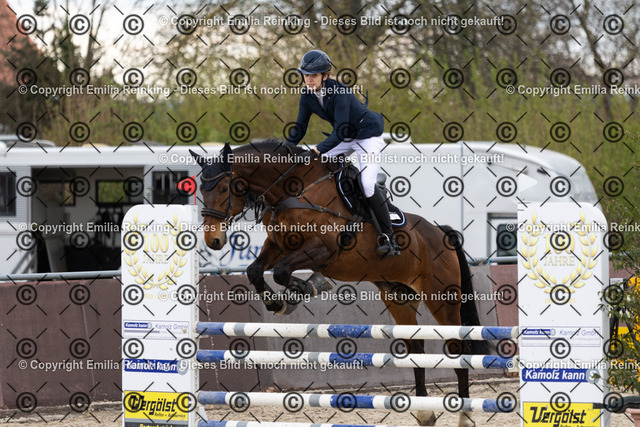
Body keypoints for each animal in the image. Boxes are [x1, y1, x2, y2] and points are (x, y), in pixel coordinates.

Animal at [191, 140, 488, 427]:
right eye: (201, 189)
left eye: (224, 187)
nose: (213, 240)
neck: (291, 192)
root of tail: (440, 232)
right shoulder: (277, 245)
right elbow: (256, 270)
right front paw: (279, 301)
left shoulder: (323, 249)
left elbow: (281, 272)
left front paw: (309, 287)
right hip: (399, 297)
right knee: (417, 349)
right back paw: (425, 414)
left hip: (441, 299)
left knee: (457, 349)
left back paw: (465, 416)